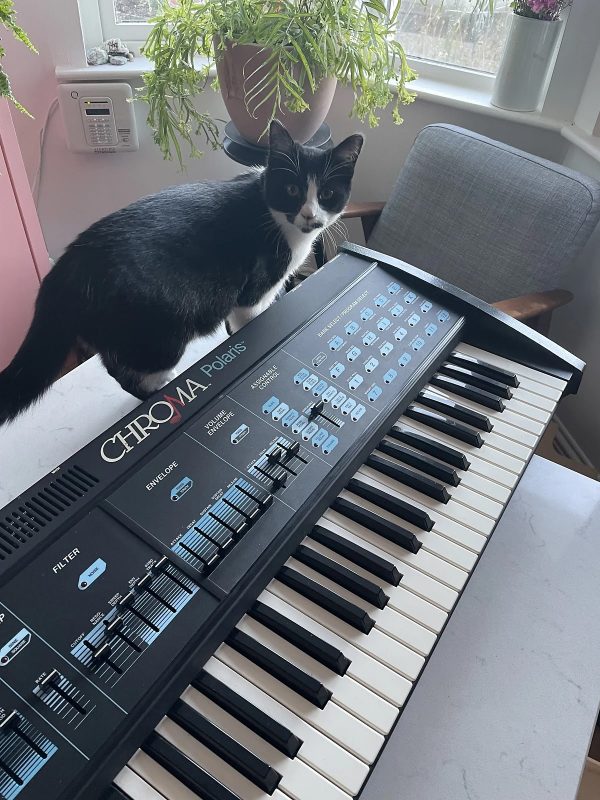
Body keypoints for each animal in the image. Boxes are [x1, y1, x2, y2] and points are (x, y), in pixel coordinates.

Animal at [0, 122, 364, 422]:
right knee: (135, 371)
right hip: (158, 333)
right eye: (292, 190)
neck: (277, 220)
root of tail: (62, 273)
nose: (310, 215)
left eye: (327, 194)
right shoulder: (253, 293)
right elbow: (251, 319)